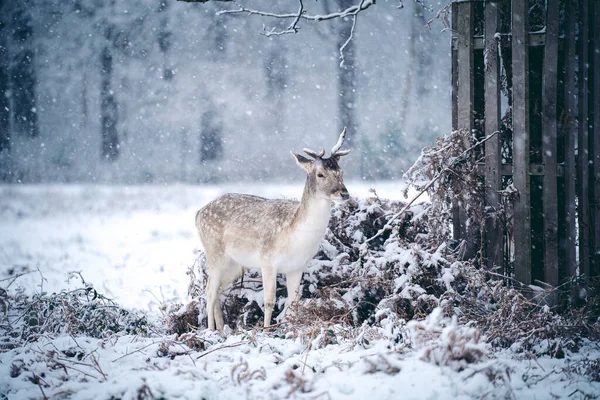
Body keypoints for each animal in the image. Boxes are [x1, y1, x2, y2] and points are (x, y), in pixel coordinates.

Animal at [195, 129, 350, 332]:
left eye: (341, 172)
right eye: (320, 174)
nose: (344, 193)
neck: (295, 236)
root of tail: (198, 214)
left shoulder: (297, 266)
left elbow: (294, 301)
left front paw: (291, 327)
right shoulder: (267, 259)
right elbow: (270, 300)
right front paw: (267, 329)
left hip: (234, 265)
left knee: (218, 289)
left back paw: (222, 329)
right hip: (215, 253)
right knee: (209, 290)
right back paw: (211, 330)